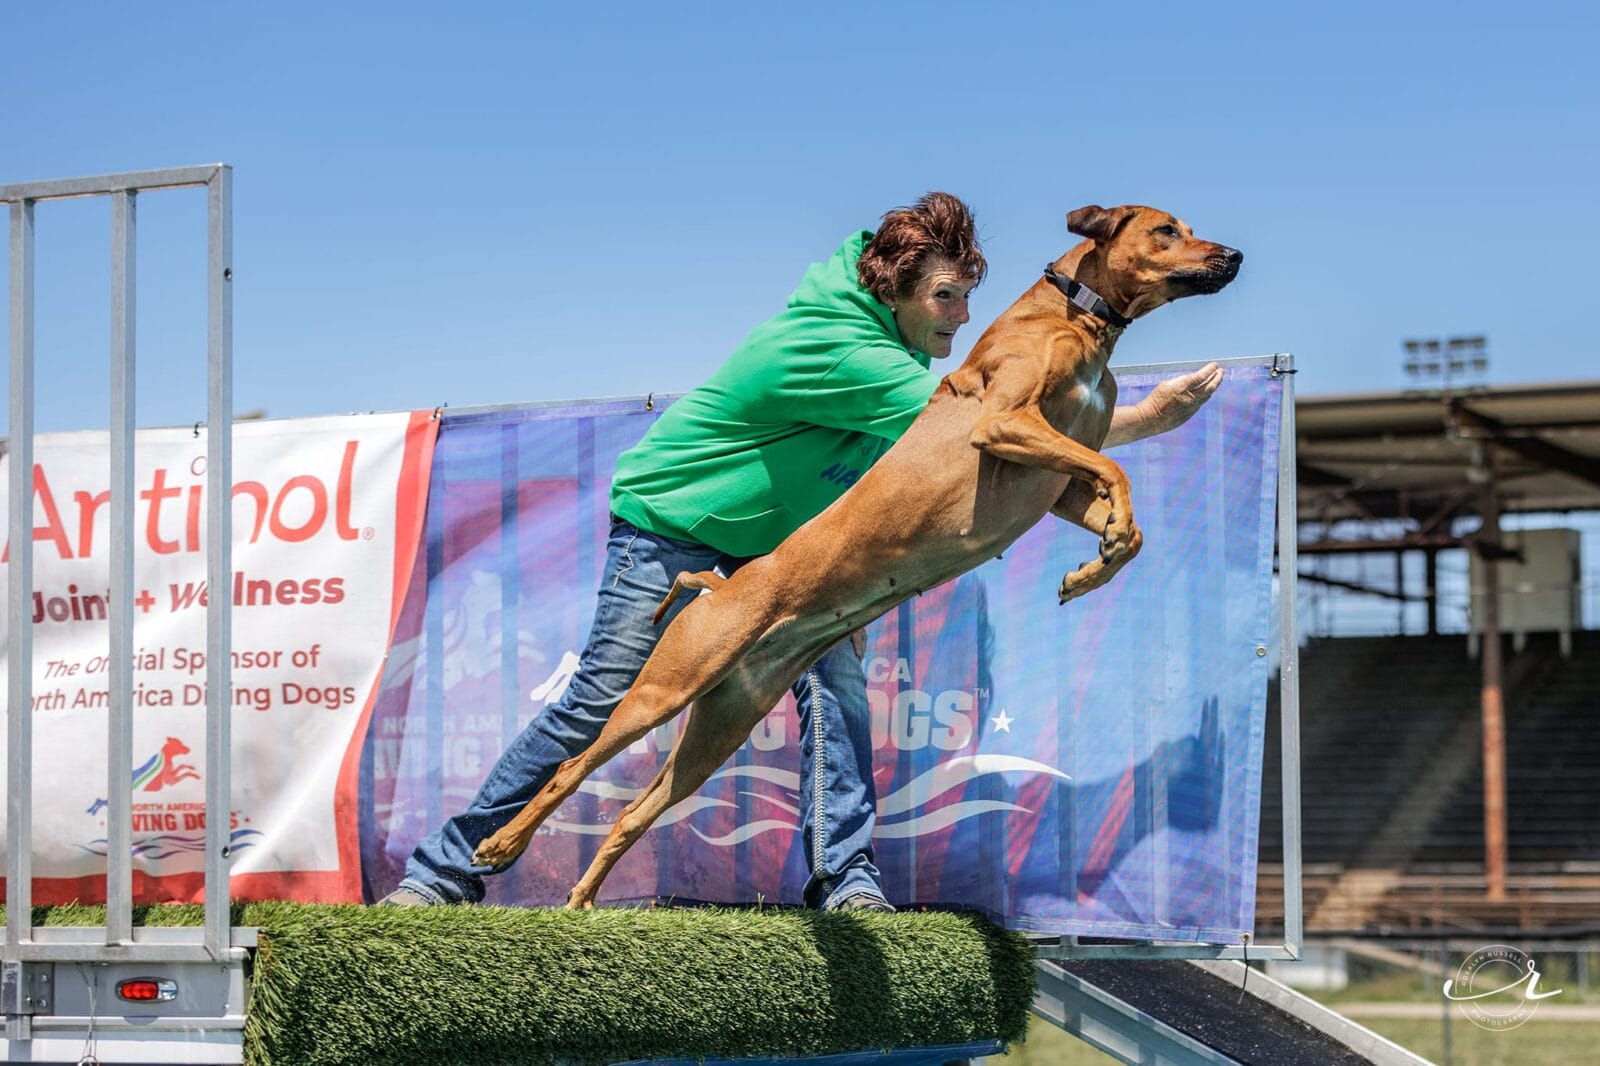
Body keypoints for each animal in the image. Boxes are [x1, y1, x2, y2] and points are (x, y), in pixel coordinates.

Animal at [467, 203, 1241, 902]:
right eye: (1166, 229)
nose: (1233, 254)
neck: (1077, 317)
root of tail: (719, 588)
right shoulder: (1005, 424)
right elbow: (1116, 472)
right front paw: (1102, 551)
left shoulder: (1055, 484)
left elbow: (1123, 511)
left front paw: (1094, 566)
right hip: (666, 687)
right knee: (569, 766)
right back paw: (499, 844)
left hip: (722, 722)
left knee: (633, 811)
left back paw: (581, 903)